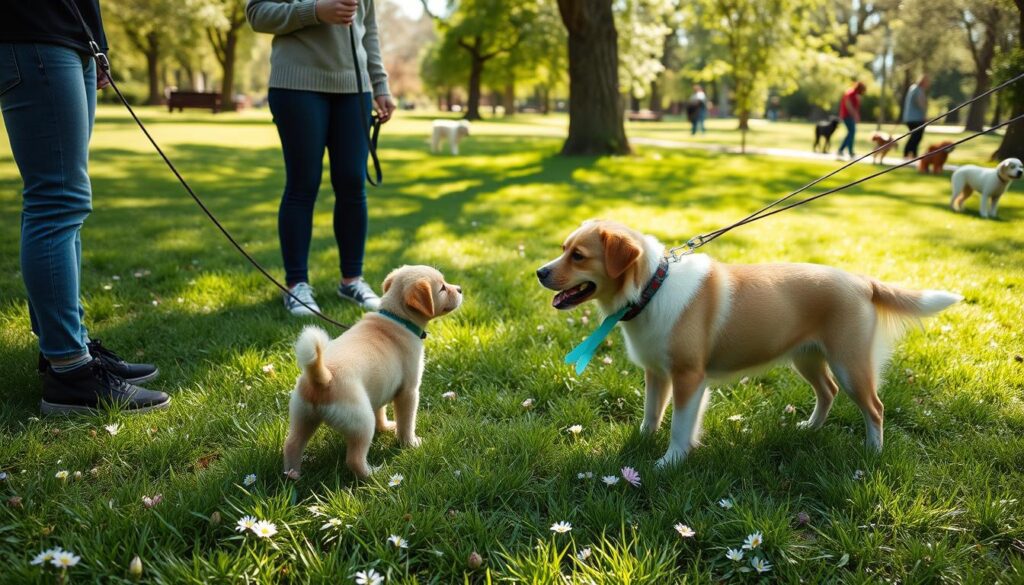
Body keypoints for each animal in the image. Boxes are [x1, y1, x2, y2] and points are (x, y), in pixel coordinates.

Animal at [286, 266, 466, 481]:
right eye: (442, 288)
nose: (460, 289)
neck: (397, 318)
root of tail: (321, 377)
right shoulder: (409, 392)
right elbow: (406, 423)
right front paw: (410, 443)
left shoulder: (380, 388)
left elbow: (380, 410)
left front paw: (386, 427)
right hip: (361, 423)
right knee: (354, 459)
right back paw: (374, 473)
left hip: (302, 416)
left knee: (292, 443)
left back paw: (293, 475)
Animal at [536, 222, 958, 469]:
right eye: (563, 248)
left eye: (578, 256)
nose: (539, 272)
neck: (652, 288)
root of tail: (862, 281)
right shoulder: (656, 374)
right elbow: (651, 415)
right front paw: (640, 443)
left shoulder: (688, 378)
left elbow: (678, 427)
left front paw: (668, 463)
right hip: (808, 360)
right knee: (827, 392)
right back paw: (809, 428)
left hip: (850, 364)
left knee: (875, 408)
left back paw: (873, 452)